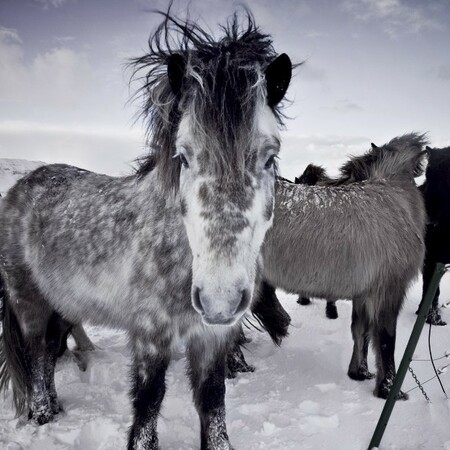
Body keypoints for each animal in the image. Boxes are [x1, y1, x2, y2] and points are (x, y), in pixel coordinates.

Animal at [0, 11, 292, 450]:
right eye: (183, 156)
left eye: (270, 157)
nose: (219, 299)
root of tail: (20, 187)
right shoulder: (150, 334)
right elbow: (149, 400)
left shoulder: (212, 336)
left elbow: (213, 401)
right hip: (28, 300)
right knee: (36, 352)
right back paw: (40, 414)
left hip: (64, 303)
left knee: (50, 351)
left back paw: (54, 407)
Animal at [253, 133, 426, 398]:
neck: (393, 201)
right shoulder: (388, 291)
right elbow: (386, 339)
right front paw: (389, 390)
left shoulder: (364, 294)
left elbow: (361, 331)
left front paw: (359, 373)